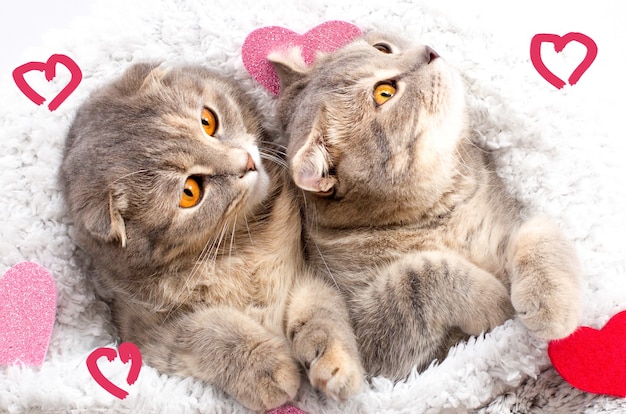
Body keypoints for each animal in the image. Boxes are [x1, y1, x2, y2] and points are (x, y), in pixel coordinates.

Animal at [59, 63, 364, 410]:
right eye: (190, 192)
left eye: (208, 121)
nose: (247, 161)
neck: (244, 240)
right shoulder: (145, 330)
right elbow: (208, 331)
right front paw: (267, 368)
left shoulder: (311, 267)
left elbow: (322, 312)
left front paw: (336, 364)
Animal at [268, 33, 580, 382]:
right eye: (384, 92)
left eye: (381, 48)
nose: (429, 51)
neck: (440, 214)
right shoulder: (378, 352)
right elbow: (420, 273)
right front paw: (493, 300)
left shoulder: (512, 217)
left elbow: (539, 230)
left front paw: (551, 304)